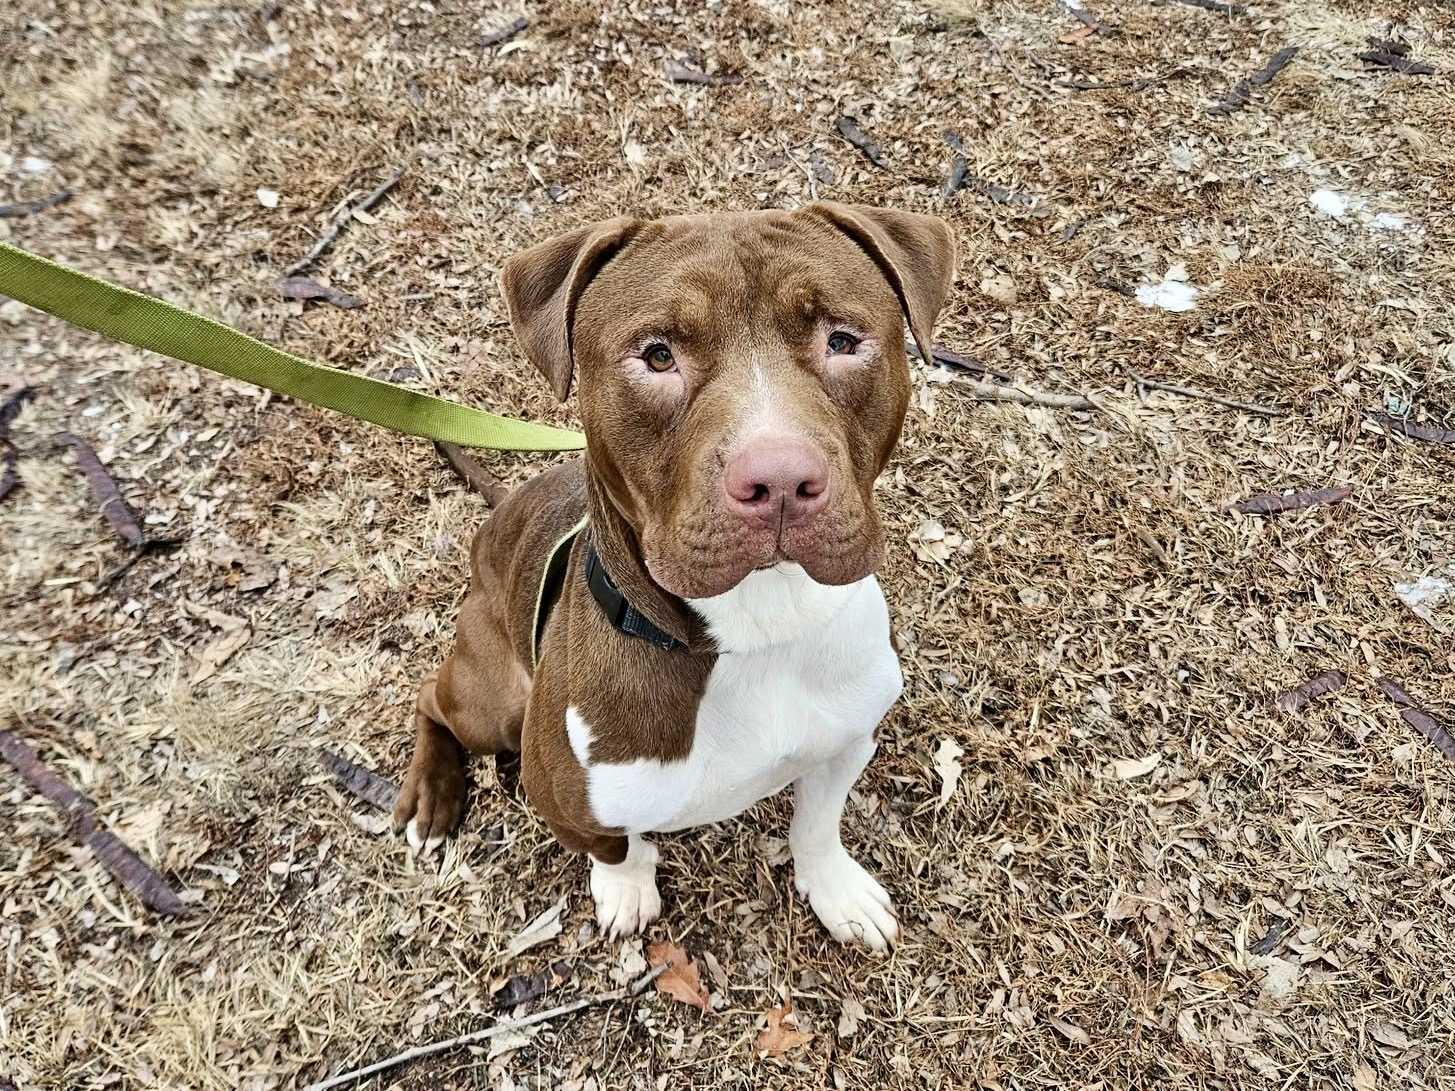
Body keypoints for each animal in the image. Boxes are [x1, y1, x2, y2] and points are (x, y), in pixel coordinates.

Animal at [395, 203, 954, 948]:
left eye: (842, 339)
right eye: (658, 354)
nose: (779, 478)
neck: (759, 628)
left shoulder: (848, 739)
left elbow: (817, 822)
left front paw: (836, 889)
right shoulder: (566, 797)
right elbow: (615, 845)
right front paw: (626, 889)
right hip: (492, 699)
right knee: (432, 696)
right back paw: (431, 797)